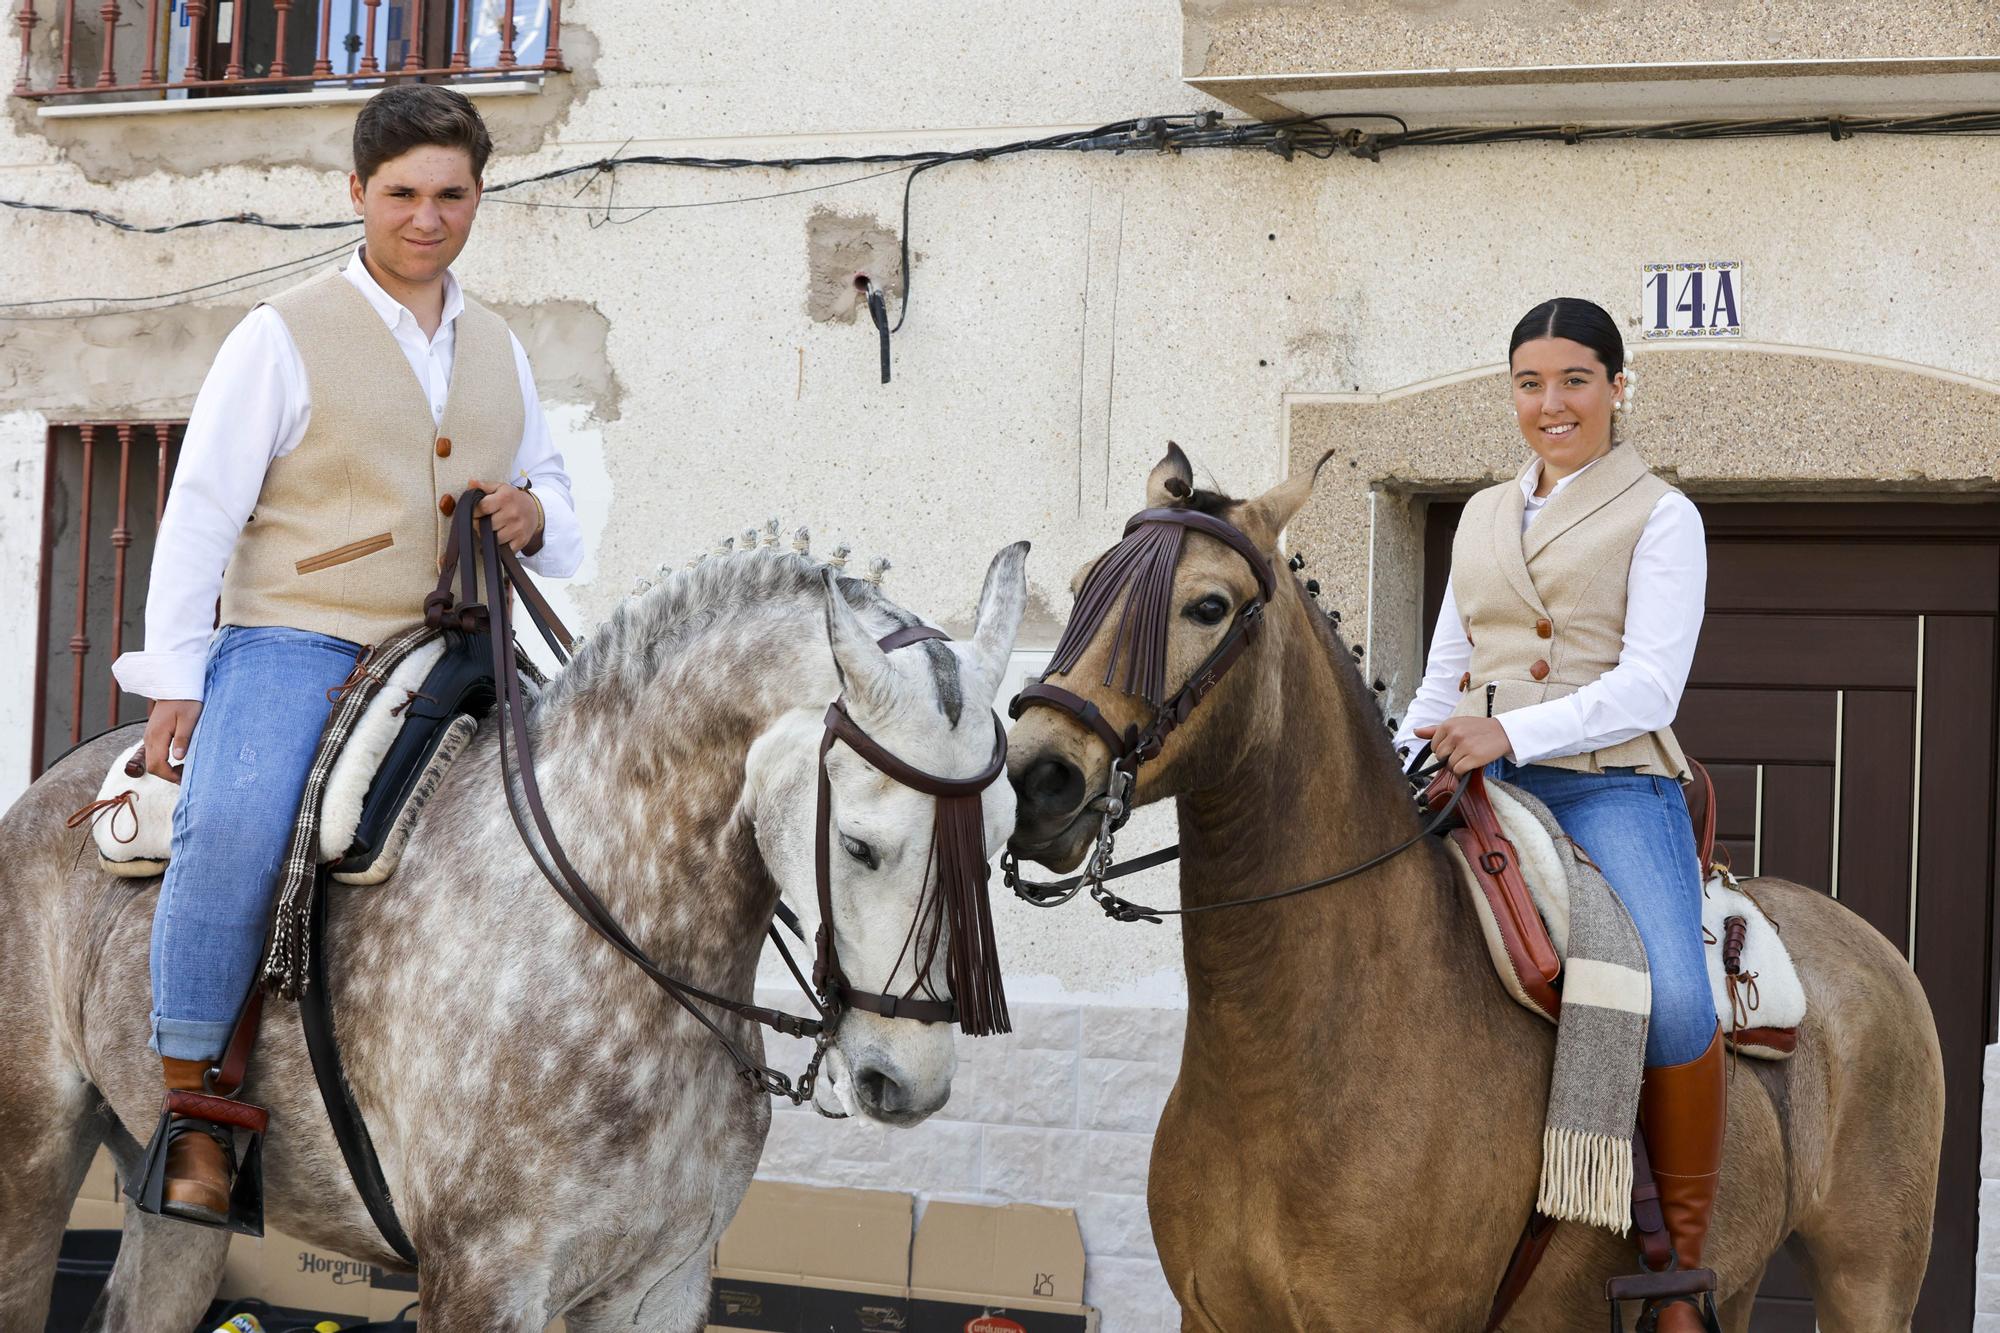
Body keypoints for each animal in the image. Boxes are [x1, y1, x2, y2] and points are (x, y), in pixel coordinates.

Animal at [0, 536, 1024, 1320]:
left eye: (1002, 842)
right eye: (858, 844)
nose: (908, 1082)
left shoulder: (660, 1284)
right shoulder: (485, 1280)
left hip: (171, 1203)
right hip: (31, 1164)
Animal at [1008, 448, 1944, 1328]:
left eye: (1207, 606)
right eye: (1083, 586)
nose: (1039, 776)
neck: (1293, 1054)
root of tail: (1871, 947)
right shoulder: (1211, 1314)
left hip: (1869, 1279)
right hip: (1744, 1275)